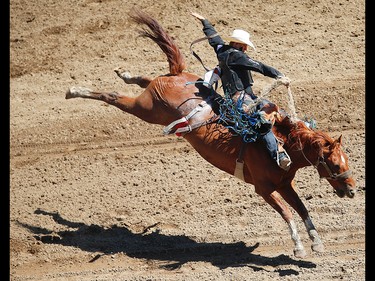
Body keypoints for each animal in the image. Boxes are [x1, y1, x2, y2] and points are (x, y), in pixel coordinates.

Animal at [64, 8, 356, 258]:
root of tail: (178, 77)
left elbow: (302, 208)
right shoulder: (263, 189)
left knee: (146, 79)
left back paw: (124, 73)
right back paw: (74, 90)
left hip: (154, 96)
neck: (281, 144)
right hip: (145, 109)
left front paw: (316, 242)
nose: (352, 190)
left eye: (347, 160)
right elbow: (287, 213)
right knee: (113, 96)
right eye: (333, 163)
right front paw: (298, 247)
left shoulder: (285, 184)